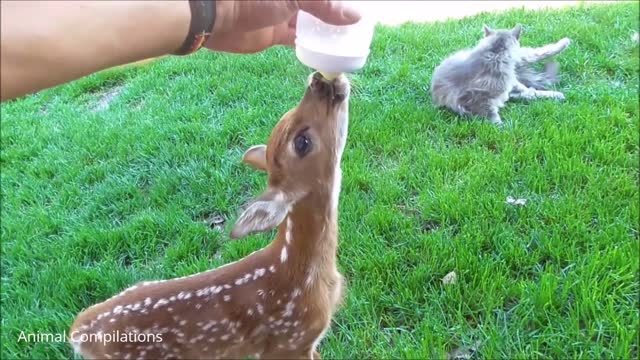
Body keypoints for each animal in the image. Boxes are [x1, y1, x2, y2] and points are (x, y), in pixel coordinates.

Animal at [430, 23, 568, 125]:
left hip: (521, 57)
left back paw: (564, 42)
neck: (495, 55)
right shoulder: (477, 100)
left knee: (536, 53)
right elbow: (495, 118)